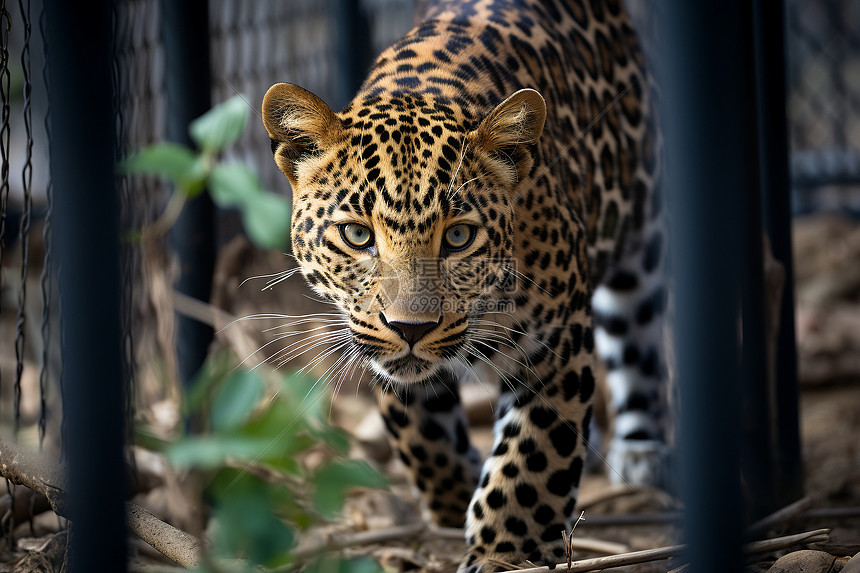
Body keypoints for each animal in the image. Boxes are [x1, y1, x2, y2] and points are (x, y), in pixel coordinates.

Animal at [258, 1, 668, 568]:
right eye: (358, 235)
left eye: (458, 236)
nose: (410, 328)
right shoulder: (376, 341)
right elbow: (417, 424)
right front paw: (453, 497)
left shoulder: (558, 341)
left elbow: (534, 457)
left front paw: (507, 553)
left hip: (638, 234)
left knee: (638, 337)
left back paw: (643, 451)